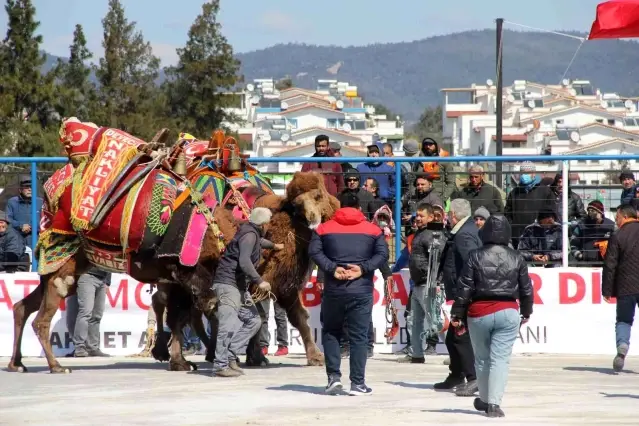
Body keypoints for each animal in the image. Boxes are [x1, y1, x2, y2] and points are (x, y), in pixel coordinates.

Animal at [7, 119, 338, 372]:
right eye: (309, 199)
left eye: (321, 194)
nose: (322, 215)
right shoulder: (197, 271)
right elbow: (210, 312)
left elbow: (295, 316)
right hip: (66, 264)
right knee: (43, 317)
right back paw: (57, 365)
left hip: (68, 265)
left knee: (24, 306)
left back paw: (18, 363)